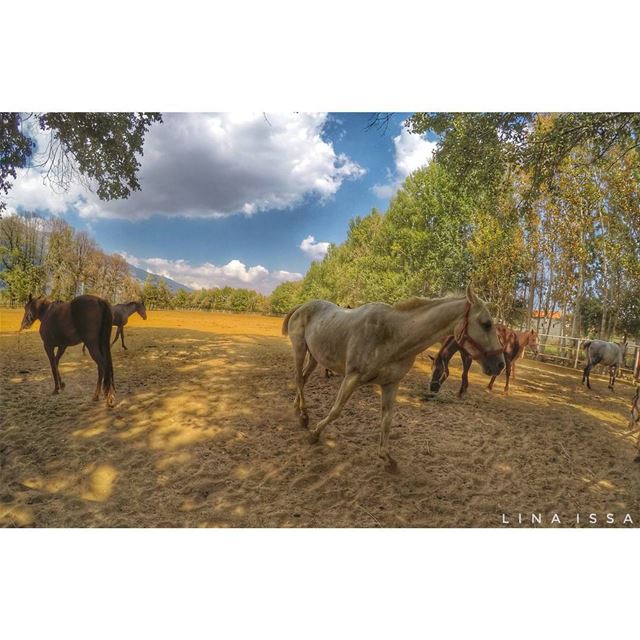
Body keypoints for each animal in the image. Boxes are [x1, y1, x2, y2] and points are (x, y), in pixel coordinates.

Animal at [284, 284, 504, 470]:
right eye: (486, 324)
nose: (500, 364)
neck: (393, 334)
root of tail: (303, 306)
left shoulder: (391, 384)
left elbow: (387, 419)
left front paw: (386, 456)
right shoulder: (352, 377)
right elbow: (336, 410)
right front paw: (315, 434)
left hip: (314, 357)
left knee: (303, 379)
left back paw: (298, 410)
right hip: (300, 349)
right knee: (298, 379)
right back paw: (304, 417)